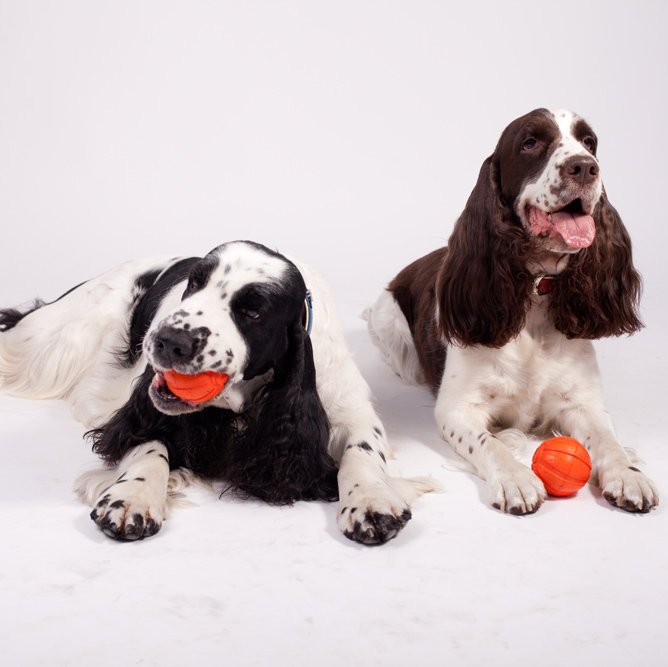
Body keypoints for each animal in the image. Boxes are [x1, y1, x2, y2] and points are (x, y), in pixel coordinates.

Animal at [1, 240, 434, 544]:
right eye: (194, 284)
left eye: (253, 311)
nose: (166, 341)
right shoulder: (142, 409)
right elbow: (147, 441)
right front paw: (134, 497)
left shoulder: (344, 405)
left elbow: (363, 448)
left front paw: (372, 500)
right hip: (55, 341)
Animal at [368, 109, 660, 516]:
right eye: (530, 143)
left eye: (589, 142)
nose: (586, 167)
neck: (533, 293)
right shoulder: (458, 409)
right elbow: (488, 443)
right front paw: (516, 479)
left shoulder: (584, 402)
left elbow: (609, 440)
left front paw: (629, 476)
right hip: (389, 326)